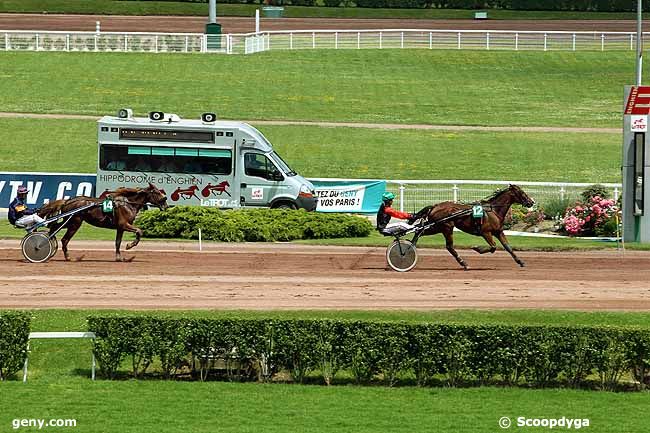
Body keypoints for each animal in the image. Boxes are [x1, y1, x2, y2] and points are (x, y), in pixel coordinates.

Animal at [38, 182, 168, 260]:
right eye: (157, 192)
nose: (166, 205)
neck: (127, 204)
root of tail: (68, 201)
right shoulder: (124, 224)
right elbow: (139, 231)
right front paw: (129, 245)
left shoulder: (120, 228)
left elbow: (117, 242)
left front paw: (119, 258)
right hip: (75, 222)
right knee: (64, 239)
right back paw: (67, 257)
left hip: (70, 221)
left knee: (54, 227)